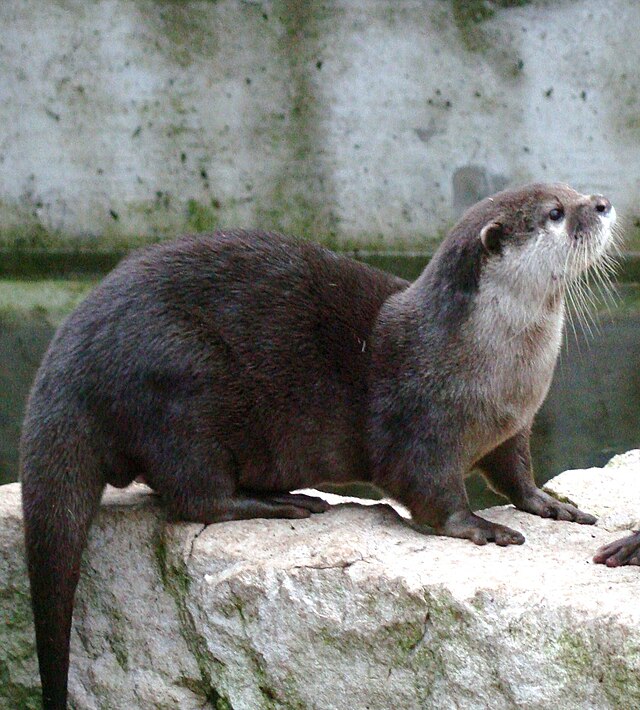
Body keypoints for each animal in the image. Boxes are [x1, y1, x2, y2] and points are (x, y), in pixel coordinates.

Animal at [22, 184, 616, 708]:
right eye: (557, 211)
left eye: (570, 190)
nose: (603, 202)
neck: (486, 364)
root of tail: (68, 360)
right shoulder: (417, 424)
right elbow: (427, 491)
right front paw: (480, 526)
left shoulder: (513, 425)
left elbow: (516, 473)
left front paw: (552, 504)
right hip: (181, 380)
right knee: (195, 496)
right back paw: (283, 502)